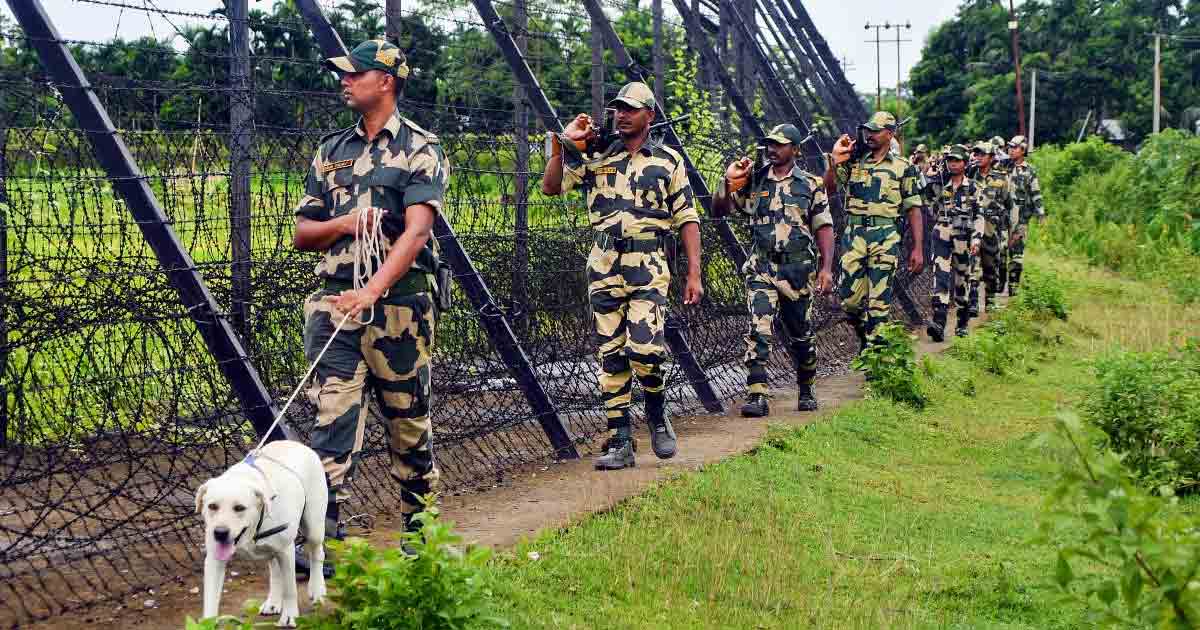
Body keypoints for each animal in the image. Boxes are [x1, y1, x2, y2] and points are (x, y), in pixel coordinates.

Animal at [196, 436, 331, 624]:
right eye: (212, 506)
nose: (220, 533)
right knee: (275, 572)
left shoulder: (286, 551)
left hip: (313, 527)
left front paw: (289, 616)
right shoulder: (214, 560)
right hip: (274, 549)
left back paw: (317, 589)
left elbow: (290, 589)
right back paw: (273, 602)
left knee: (317, 554)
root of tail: (296, 444)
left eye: (240, 508)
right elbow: (210, 600)